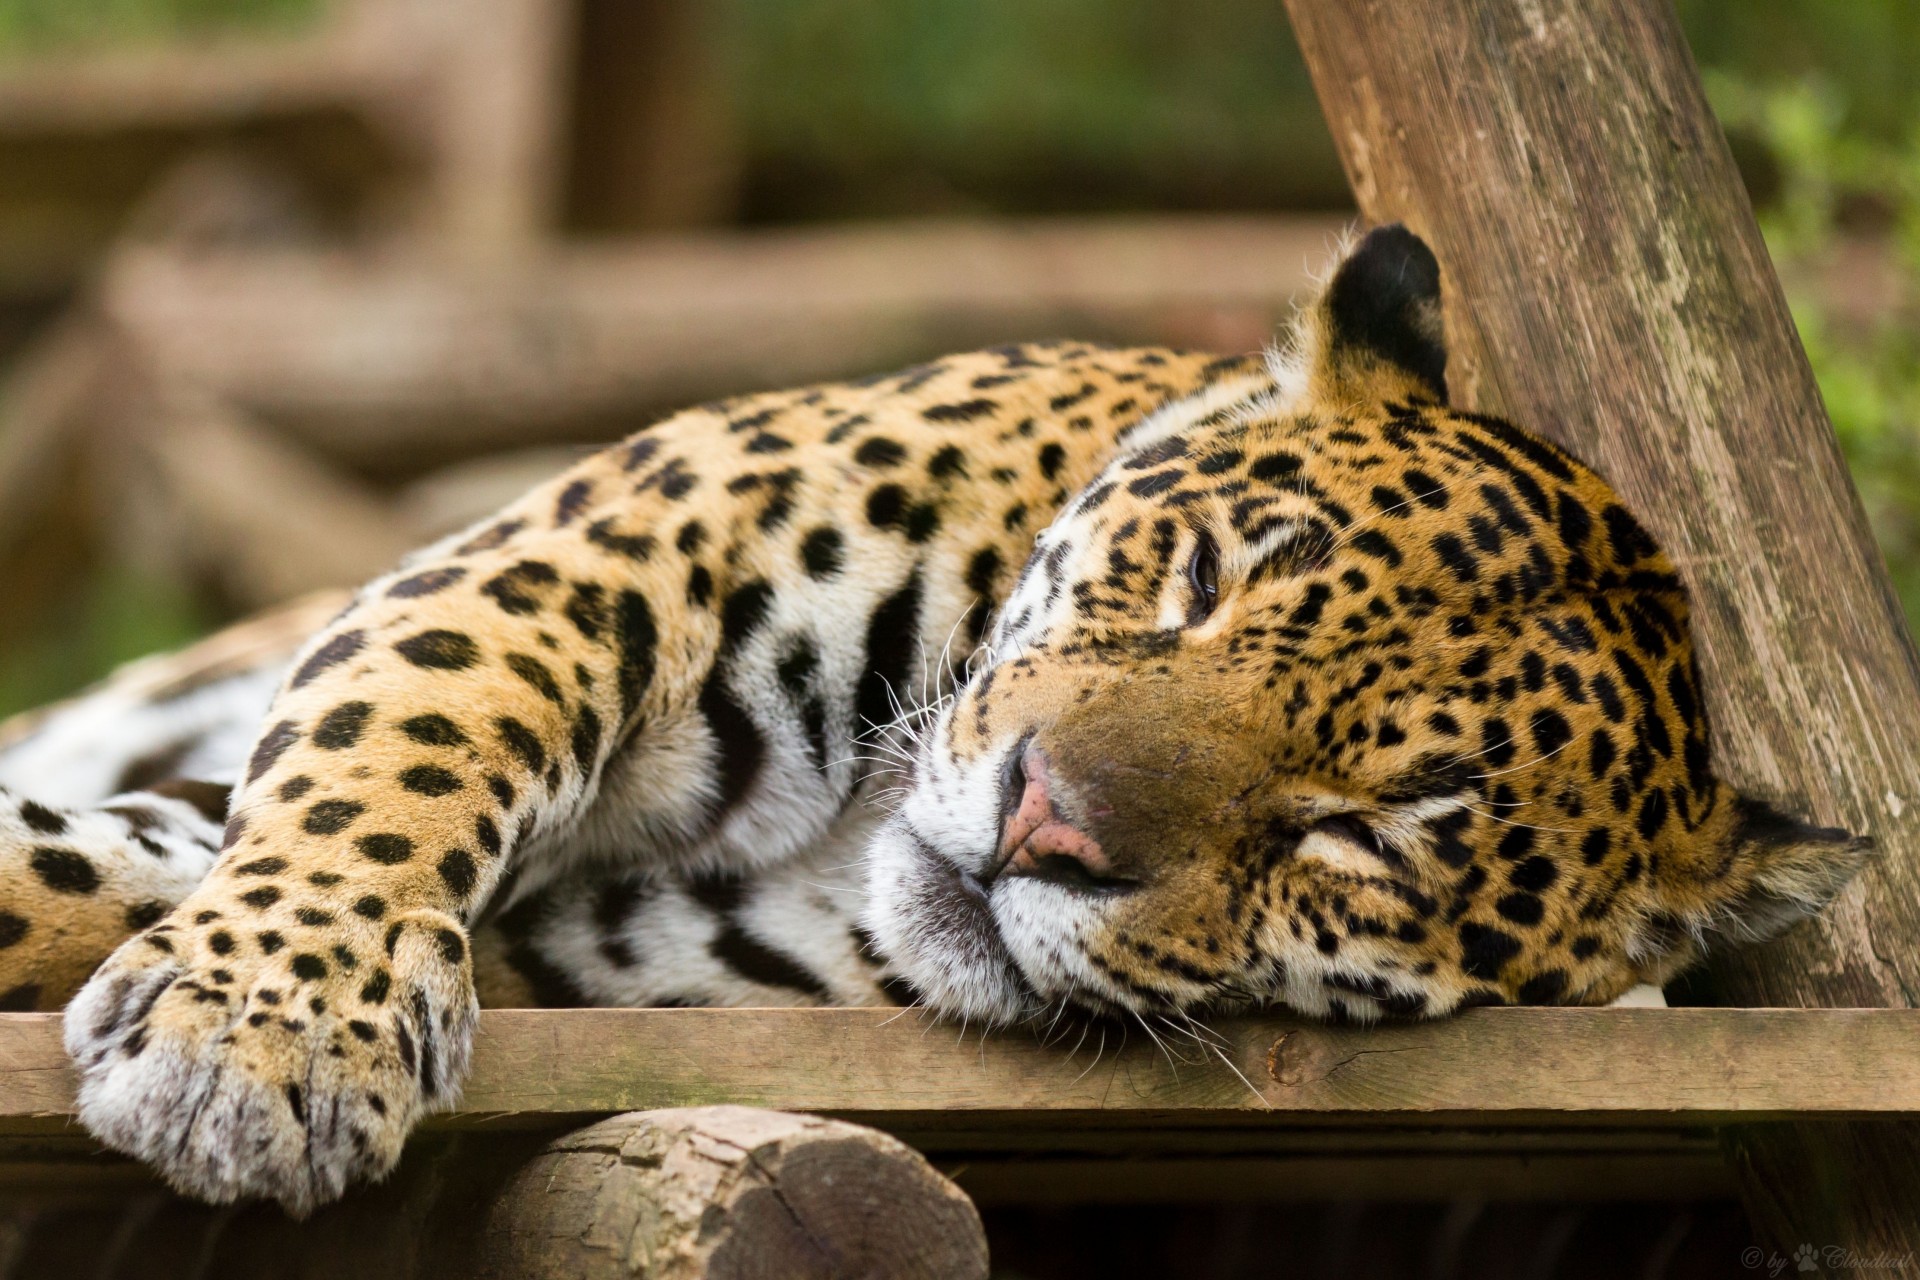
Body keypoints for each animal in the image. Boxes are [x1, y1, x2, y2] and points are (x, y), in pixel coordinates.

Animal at [0, 225, 1864, 1215]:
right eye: (1196, 581)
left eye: (1361, 833)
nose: (1046, 821)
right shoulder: (589, 560)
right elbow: (401, 751)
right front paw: (269, 1036)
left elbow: (86, 877)